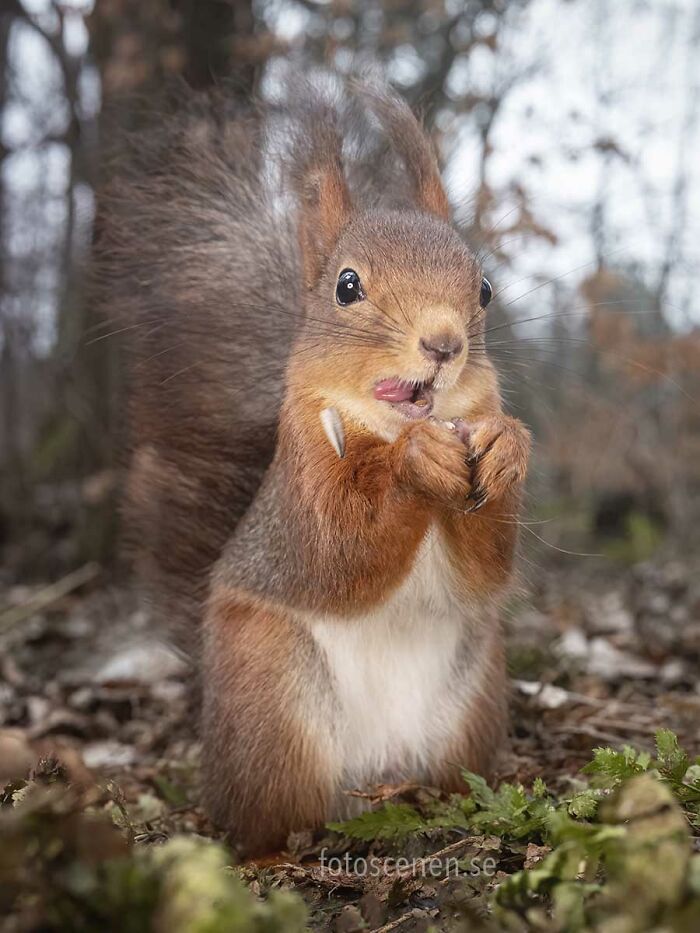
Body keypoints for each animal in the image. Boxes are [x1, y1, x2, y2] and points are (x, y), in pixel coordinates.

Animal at [98, 80, 531, 855]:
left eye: (484, 287)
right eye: (347, 286)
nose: (444, 343)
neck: (389, 428)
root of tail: (375, 780)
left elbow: (486, 566)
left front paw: (507, 446)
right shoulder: (301, 492)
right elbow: (340, 551)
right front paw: (416, 463)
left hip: (472, 704)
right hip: (275, 700)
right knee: (264, 821)